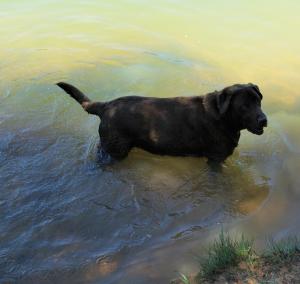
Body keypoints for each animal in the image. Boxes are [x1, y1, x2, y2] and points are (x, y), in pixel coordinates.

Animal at [56, 81, 268, 164]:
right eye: (244, 106)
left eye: (259, 101)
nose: (264, 120)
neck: (221, 116)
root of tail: (106, 105)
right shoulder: (216, 158)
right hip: (116, 150)